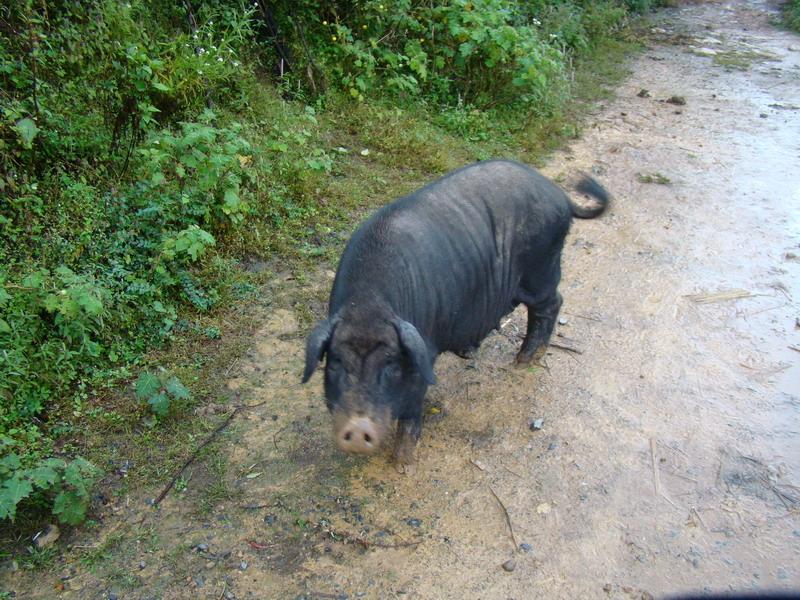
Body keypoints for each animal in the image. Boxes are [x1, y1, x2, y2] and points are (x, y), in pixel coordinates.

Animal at [304, 161, 608, 474]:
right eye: (336, 362)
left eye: (391, 363)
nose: (357, 427)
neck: (367, 305)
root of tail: (560, 195)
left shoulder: (423, 352)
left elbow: (412, 409)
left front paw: (402, 464)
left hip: (541, 270)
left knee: (551, 304)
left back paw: (523, 362)